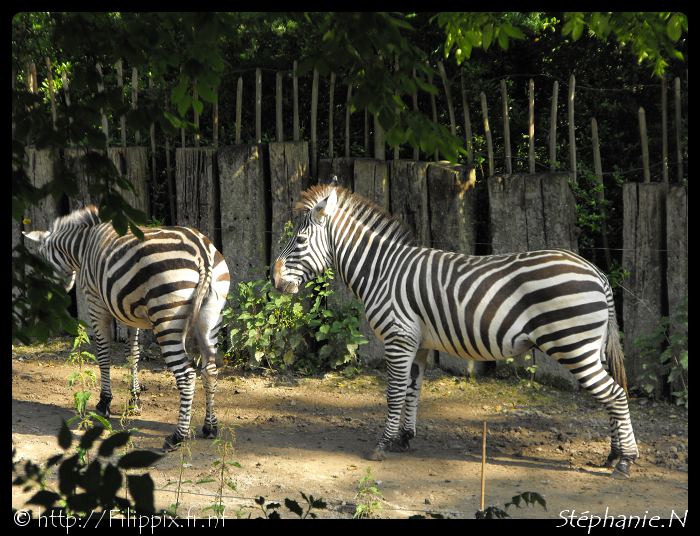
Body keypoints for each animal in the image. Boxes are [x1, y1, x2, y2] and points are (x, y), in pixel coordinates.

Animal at [23, 205, 230, 452]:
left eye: (42, 260)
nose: (54, 293)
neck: (82, 247)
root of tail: (202, 253)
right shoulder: (132, 315)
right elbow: (134, 355)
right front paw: (135, 399)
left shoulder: (96, 303)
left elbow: (104, 354)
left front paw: (104, 403)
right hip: (211, 316)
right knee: (210, 370)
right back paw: (210, 426)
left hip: (167, 318)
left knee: (187, 375)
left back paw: (177, 437)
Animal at [272, 179, 640, 478]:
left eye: (300, 239)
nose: (272, 280)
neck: (382, 271)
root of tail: (597, 272)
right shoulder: (417, 343)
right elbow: (413, 389)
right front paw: (405, 438)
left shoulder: (397, 338)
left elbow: (394, 392)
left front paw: (383, 444)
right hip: (589, 348)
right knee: (609, 395)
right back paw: (613, 455)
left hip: (572, 345)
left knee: (615, 394)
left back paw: (625, 461)